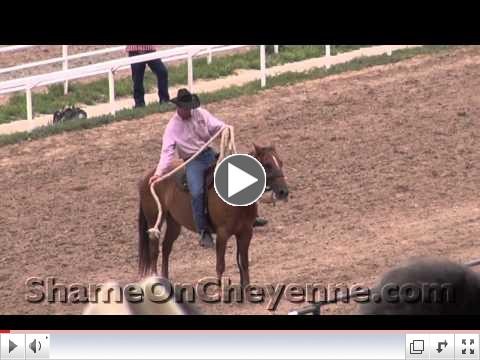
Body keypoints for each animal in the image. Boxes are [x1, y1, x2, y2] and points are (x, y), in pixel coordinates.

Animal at [138, 143, 288, 286]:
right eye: (267, 165)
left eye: (281, 162)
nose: (283, 192)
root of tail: (149, 177)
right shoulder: (222, 234)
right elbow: (220, 266)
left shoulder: (246, 232)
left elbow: (244, 263)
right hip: (154, 220)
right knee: (154, 251)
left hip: (174, 222)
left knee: (166, 247)